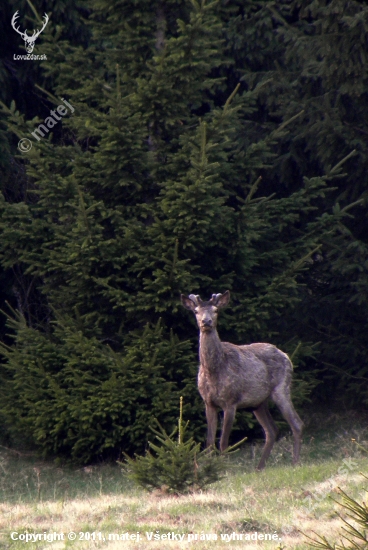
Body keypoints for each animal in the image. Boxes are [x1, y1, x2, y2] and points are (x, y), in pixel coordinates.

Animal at [180, 292, 304, 472]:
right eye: (196, 311)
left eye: (216, 310)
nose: (206, 321)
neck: (214, 371)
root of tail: (286, 356)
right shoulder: (208, 403)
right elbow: (209, 443)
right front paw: (210, 469)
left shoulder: (230, 402)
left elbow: (223, 442)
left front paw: (224, 470)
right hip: (258, 403)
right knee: (272, 430)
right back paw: (259, 467)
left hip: (282, 388)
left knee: (296, 423)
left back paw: (295, 463)